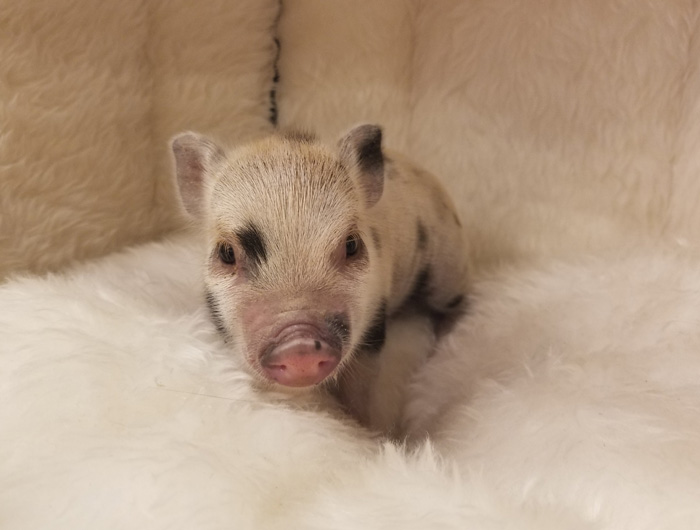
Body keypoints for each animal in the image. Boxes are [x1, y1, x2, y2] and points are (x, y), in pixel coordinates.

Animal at [171, 124, 469, 426]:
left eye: (351, 244)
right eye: (227, 252)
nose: (299, 343)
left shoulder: (375, 320)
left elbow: (361, 386)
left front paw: (364, 428)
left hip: (447, 270)